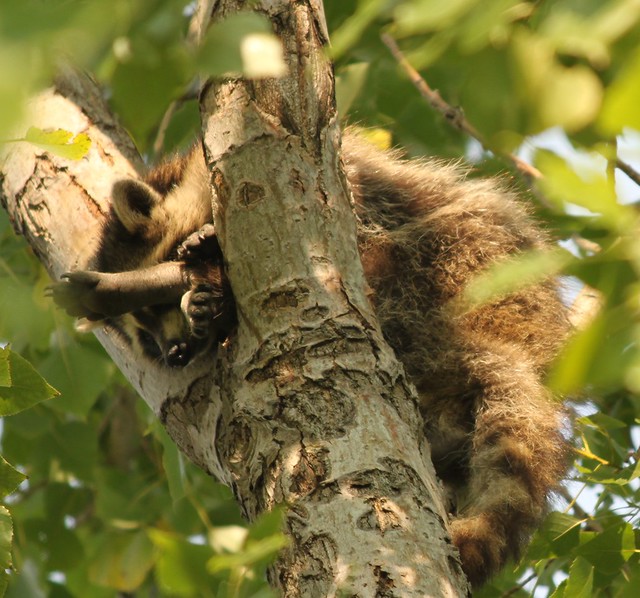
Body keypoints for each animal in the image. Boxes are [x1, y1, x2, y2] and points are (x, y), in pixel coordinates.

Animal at [53, 130, 571, 587]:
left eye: (157, 311)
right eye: (144, 339)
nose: (174, 354)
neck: (194, 180)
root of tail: (528, 345)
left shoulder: (342, 177)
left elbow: (357, 208)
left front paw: (199, 264)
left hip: (458, 269)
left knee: (392, 257)